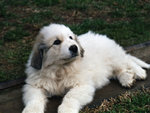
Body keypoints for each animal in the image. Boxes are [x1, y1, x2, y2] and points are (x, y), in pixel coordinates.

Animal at [22, 23, 150, 112]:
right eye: (56, 42)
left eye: (71, 38)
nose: (74, 47)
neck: (60, 69)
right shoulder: (34, 86)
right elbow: (34, 100)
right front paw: (31, 111)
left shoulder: (83, 85)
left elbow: (70, 97)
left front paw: (66, 110)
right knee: (118, 70)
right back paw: (127, 78)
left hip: (113, 57)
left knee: (127, 61)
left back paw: (138, 73)